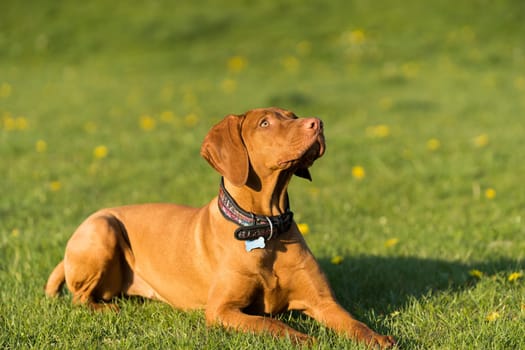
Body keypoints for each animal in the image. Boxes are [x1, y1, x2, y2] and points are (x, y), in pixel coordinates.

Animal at [46, 106, 392, 348]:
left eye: (293, 116)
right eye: (265, 123)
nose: (317, 123)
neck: (265, 228)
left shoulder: (323, 302)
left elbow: (354, 323)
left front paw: (378, 338)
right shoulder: (222, 310)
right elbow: (271, 324)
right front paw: (304, 339)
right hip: (102, 227)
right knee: (79, 298)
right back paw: (106, 309)